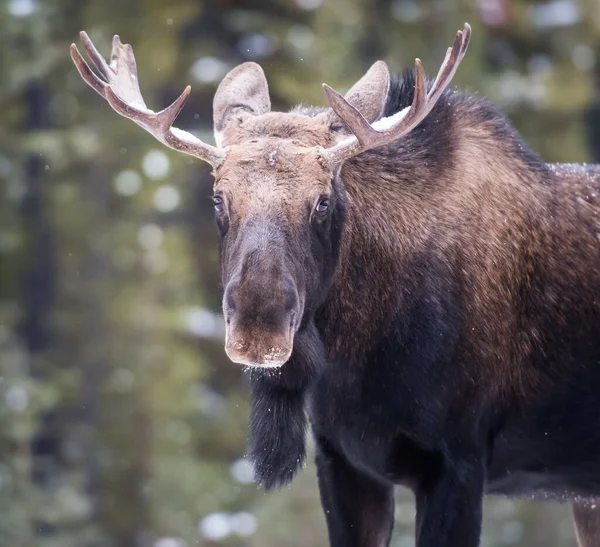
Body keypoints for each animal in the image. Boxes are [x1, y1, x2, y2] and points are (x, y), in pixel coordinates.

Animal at [71, 23, 600, 544]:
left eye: (323, 201)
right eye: (219, 198)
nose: (259, 327)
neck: (359, 357)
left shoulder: (459, 461)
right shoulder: (343, 460)